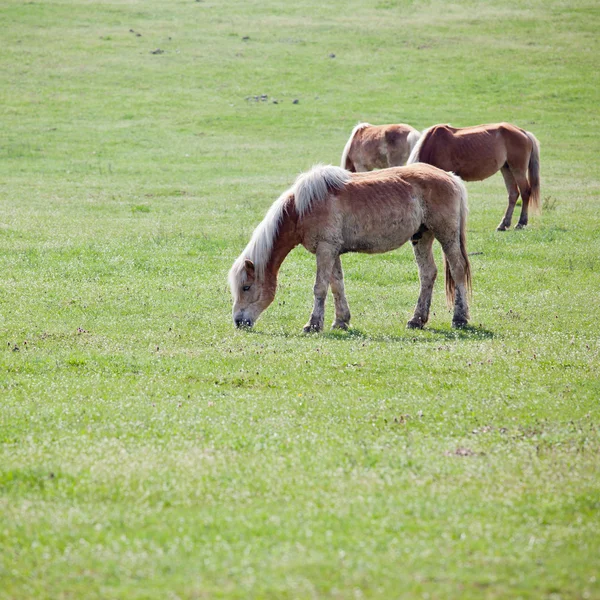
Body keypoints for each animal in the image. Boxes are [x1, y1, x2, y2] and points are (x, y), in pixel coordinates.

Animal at [227, 164, 472, 332]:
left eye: (246, 287)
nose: (238, 321)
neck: (302, 208)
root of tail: (450, 177)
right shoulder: (332, 252)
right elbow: (337, 285)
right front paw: (341, 321)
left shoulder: (325, 249)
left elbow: (320, 287)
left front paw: (313, 324)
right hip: (422, 237)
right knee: (427, 274)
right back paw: (417, 320)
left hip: (446, 236)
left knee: (458, 269)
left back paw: (459, 319)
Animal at [408, 123, 540, 231]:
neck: (434, 146)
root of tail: (523, 132)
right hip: (506, 168)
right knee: (513, 194)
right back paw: (504, 224)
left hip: (518, 170)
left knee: (525, 192)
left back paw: (521, 222)